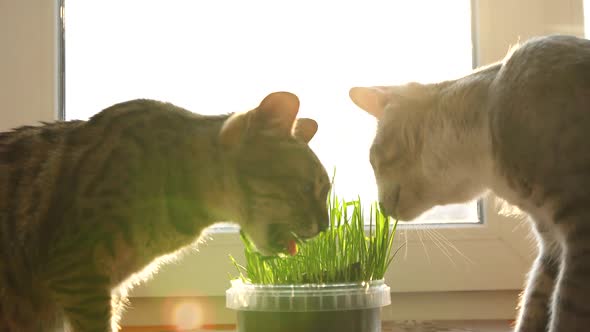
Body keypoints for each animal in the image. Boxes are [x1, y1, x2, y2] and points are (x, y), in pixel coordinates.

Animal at [352, 35, 590, 330]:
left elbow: (567, 311)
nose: (381, 208)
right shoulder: (550, 243)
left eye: (373, 158)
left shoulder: (580, 231)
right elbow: (534, 303)